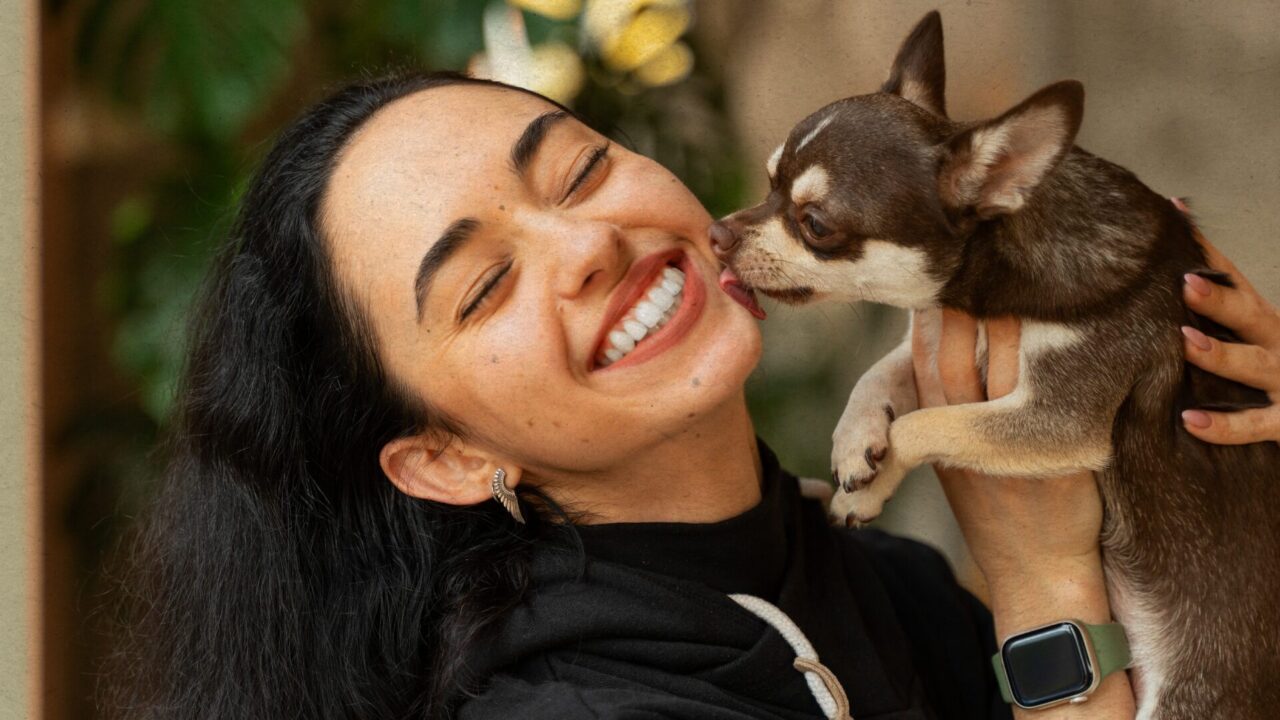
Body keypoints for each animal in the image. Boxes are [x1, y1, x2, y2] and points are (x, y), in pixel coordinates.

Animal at [711, 11, 1280, 717]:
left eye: (814, 223)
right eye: (767, 185)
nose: (717, 233)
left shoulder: (1058, 419)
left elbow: (924, 424)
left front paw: (873, 473)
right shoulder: (931, 333)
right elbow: (880, 373)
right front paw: (854, 448)